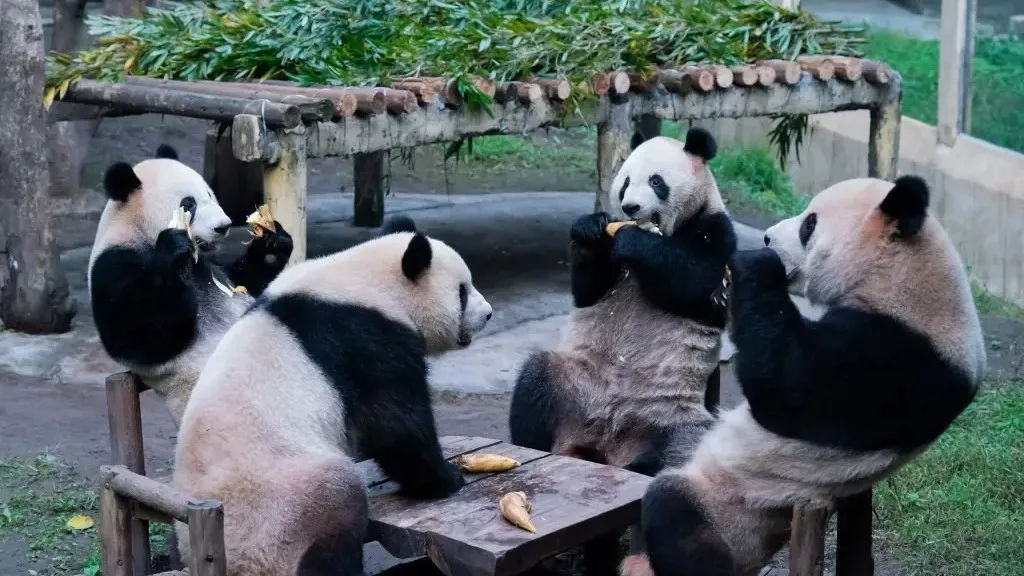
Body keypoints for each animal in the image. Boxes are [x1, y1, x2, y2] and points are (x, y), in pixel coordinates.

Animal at [87, 143, 292, 422]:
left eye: (210, 193)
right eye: (189, 203)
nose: (223, 226)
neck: (138, 229)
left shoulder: (213, 267)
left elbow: (249, 282)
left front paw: (272, 242)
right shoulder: (112, 265)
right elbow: (136, 335)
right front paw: (173, 248)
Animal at [174, 216, 493, 573]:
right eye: (462, 292)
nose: (488, 314)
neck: (367, 282)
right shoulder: (365, 340)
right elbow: (396, 424)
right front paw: (446, 479)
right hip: (286, 503)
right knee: (337, 512)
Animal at [509, 127, 737, 473]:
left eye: (657, 182)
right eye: (626, 182)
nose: (630, 207)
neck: (666, 232)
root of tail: (605, 446)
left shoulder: (716, 231)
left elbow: (697, 285)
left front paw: (633, 241)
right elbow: (589, 291)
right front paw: (589, 228)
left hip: (672, 412)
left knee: (685, 442)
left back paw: (644, 464)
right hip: (574, 381)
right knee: (535, 382)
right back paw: (530, 444)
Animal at [626, 175, 987, 573]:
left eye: (809, 224)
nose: (767, 238)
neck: (903, 277)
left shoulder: (898, 358)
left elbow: (788, 389)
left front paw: (755, 265)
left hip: (738, 508)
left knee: (676, 517)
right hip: (693, 445)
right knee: (659, 453)